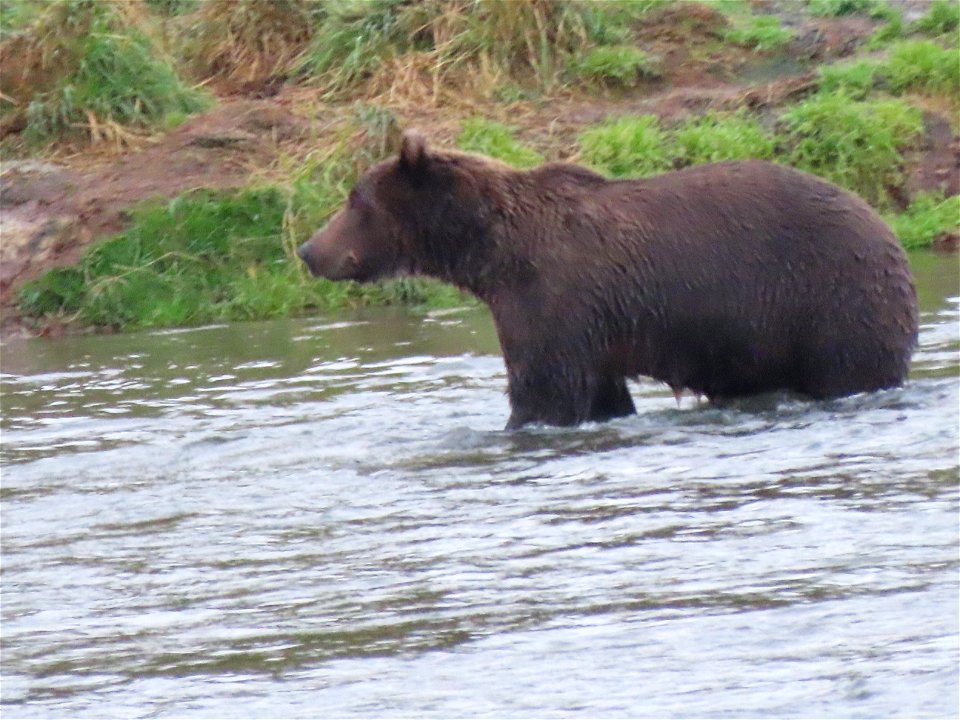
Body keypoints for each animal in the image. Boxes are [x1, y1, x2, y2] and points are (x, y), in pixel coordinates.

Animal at [296, 129, 920, 428]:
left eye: (354, 200)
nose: (308, 249)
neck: (492, 253)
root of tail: (887, 228)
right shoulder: (590, 328)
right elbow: (600, 393)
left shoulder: (552, 299)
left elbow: (544, 391)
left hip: (831, 297)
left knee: (851, 366)